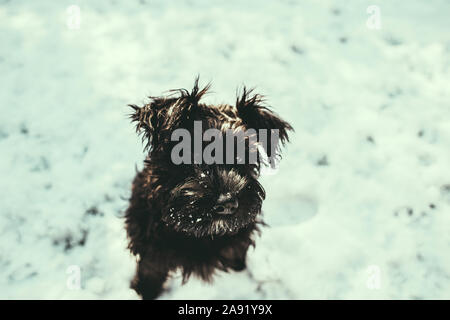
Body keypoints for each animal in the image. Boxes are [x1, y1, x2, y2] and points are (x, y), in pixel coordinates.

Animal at [125, 78, 292, 300]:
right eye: (187, 153)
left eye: (244, 156)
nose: (228, 203)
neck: (200, 235)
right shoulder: (151, 251)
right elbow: (149, 273)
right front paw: (143, 291)